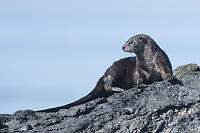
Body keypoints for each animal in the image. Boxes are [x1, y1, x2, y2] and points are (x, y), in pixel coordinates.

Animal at [36, 33, 173, 112]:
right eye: (126, 41)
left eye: (131, 42)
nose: (123, 46)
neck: (148, 62)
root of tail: (103, 75)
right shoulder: (139, 68)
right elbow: (138, 78)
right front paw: (140, 85)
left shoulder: (162, 60)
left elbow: (166, 70)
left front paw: (170, 77)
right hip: (115, 70)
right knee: (107, 86)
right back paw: (119, 89)